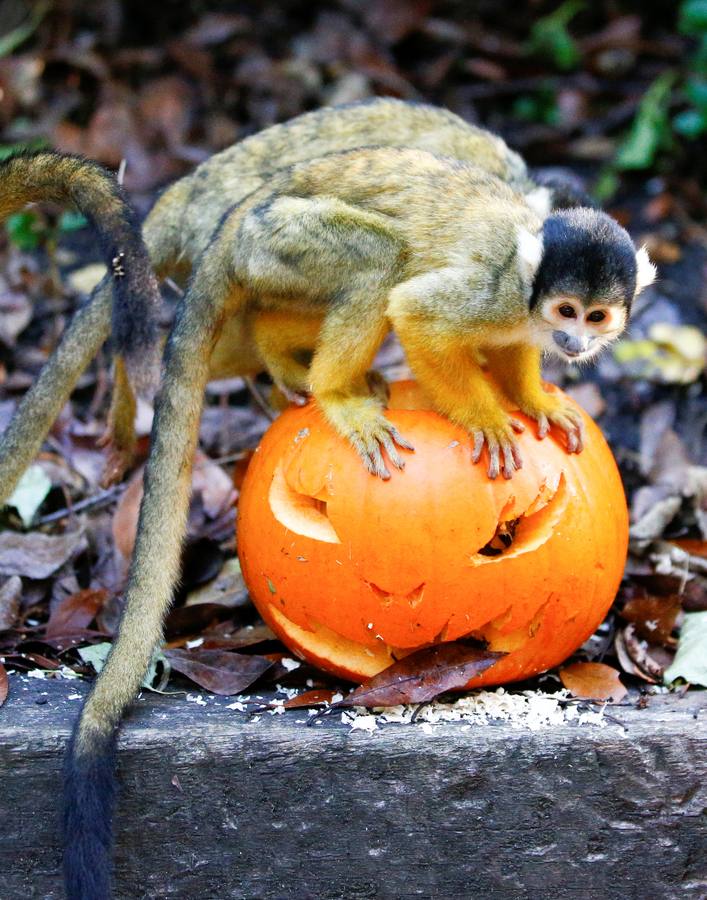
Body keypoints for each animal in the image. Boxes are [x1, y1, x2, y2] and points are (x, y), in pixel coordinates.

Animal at [63, 144, 655, 899]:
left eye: (597, 316)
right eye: (566, 309)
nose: (573, 342)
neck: (526, 292)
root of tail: (244, 209)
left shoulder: (517, 321)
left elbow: (508, 351)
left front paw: (530, 398)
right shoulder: (493, 293)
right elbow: (416, 312)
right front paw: (488, 418)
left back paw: (284, 348)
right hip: (279, 244)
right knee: (380, 261)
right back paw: (334, 393)